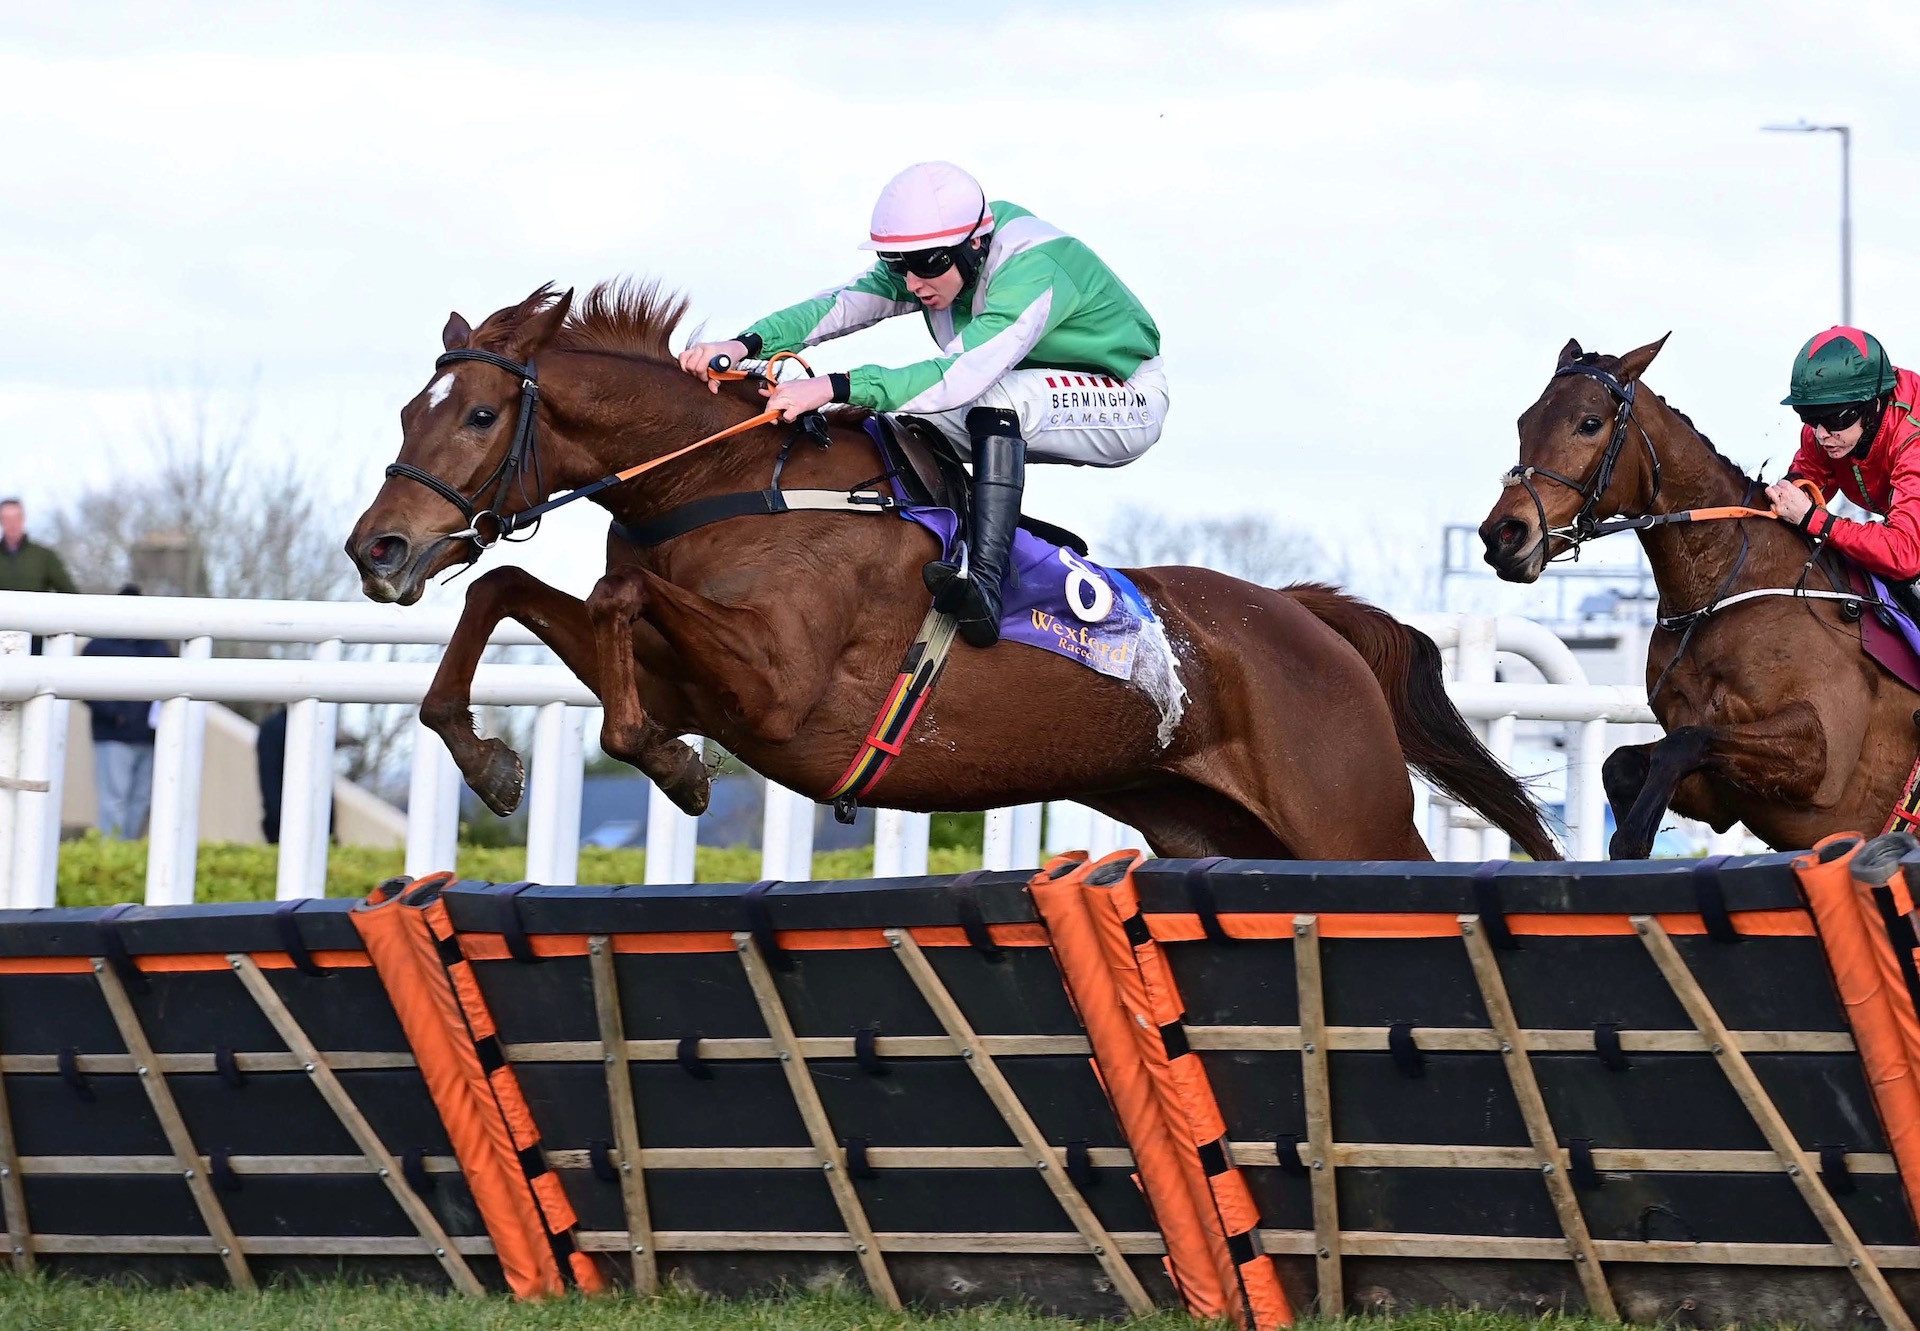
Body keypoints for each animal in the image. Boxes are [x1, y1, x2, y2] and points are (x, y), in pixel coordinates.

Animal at [349, 282, 1559, 860]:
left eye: (478, 412)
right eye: (409, 409)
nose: (380, 548)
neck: (730, 478)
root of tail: (1310, 621)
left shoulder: (778, 684)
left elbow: (616, 594)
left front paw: (671, 766)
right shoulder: (695, 675)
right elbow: (512, 593)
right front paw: (489, 757)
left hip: (1348, 819)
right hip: (1211, 827)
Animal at [1474, 330, 1912, 852]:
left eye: (1589, 423)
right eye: (1525, 420)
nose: (1503, 536)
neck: (1717, 598)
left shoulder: (1820, 757)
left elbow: (1683, 745)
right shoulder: (1721, 796)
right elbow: (1625, 762)